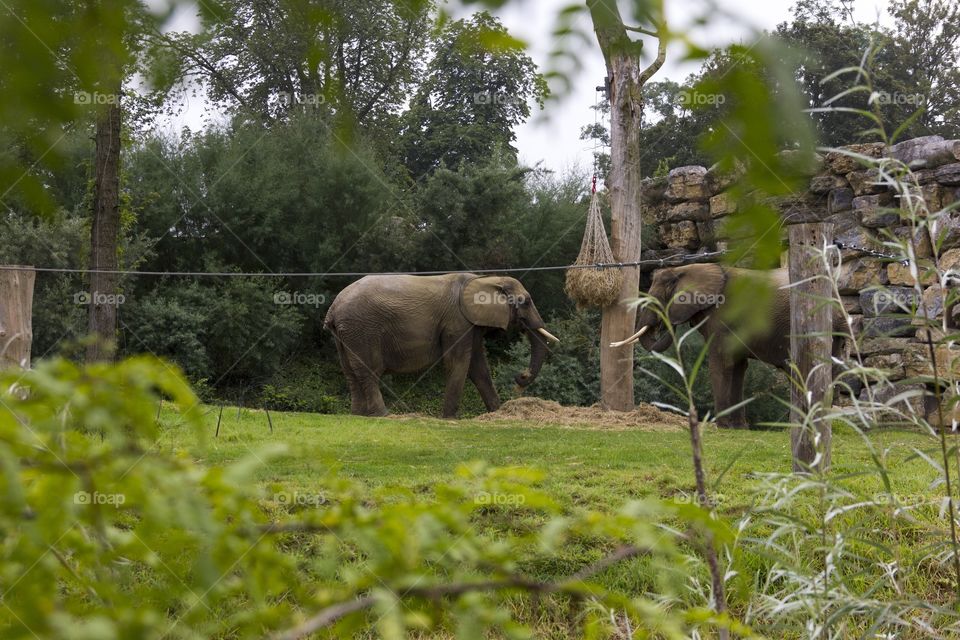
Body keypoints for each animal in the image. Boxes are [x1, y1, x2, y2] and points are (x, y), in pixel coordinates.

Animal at [322, 272, 556, 418]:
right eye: (526, 301)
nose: (520, 377)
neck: (486, 279)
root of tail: (333, 308)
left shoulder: (471, 323)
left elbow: (479, 367)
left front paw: (497, 413)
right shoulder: (457, 321)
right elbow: (458, 362)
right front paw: (450, 419)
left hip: (345, 334)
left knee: (350, 372)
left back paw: (358, 415)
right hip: (362, 329)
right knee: (369, 371)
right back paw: (383, 415)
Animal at [612, 262, 844, 428]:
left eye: (657, 298)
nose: (663, 323)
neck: (688, 268)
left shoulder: (722, 317)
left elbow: (721, 363)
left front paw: (722, 426)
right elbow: (738, 367)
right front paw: (739, 427)